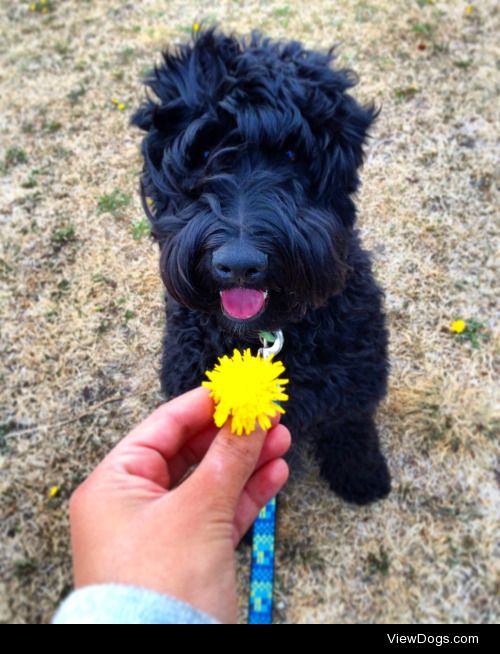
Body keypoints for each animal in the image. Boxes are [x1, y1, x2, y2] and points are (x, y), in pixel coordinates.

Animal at [132, 25, 390, 504]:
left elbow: (351, 425)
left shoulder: (354, 383)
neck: (265, 337)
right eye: (202, 152)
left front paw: (362, 475)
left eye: (291, 155)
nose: (239, 264)